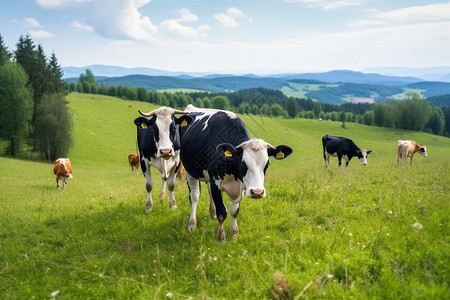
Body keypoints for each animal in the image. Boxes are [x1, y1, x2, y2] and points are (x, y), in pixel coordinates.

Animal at [178, 104, 292, 243]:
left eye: (267, 165)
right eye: (243, 164)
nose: (257, 192)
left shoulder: (239, 185)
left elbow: (234, 210)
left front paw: (234, 232)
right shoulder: (216, 181)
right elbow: (222, 211)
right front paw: (221, 236)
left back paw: (212, 214)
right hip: (190, 171)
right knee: (194, 196)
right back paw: (192, 224)